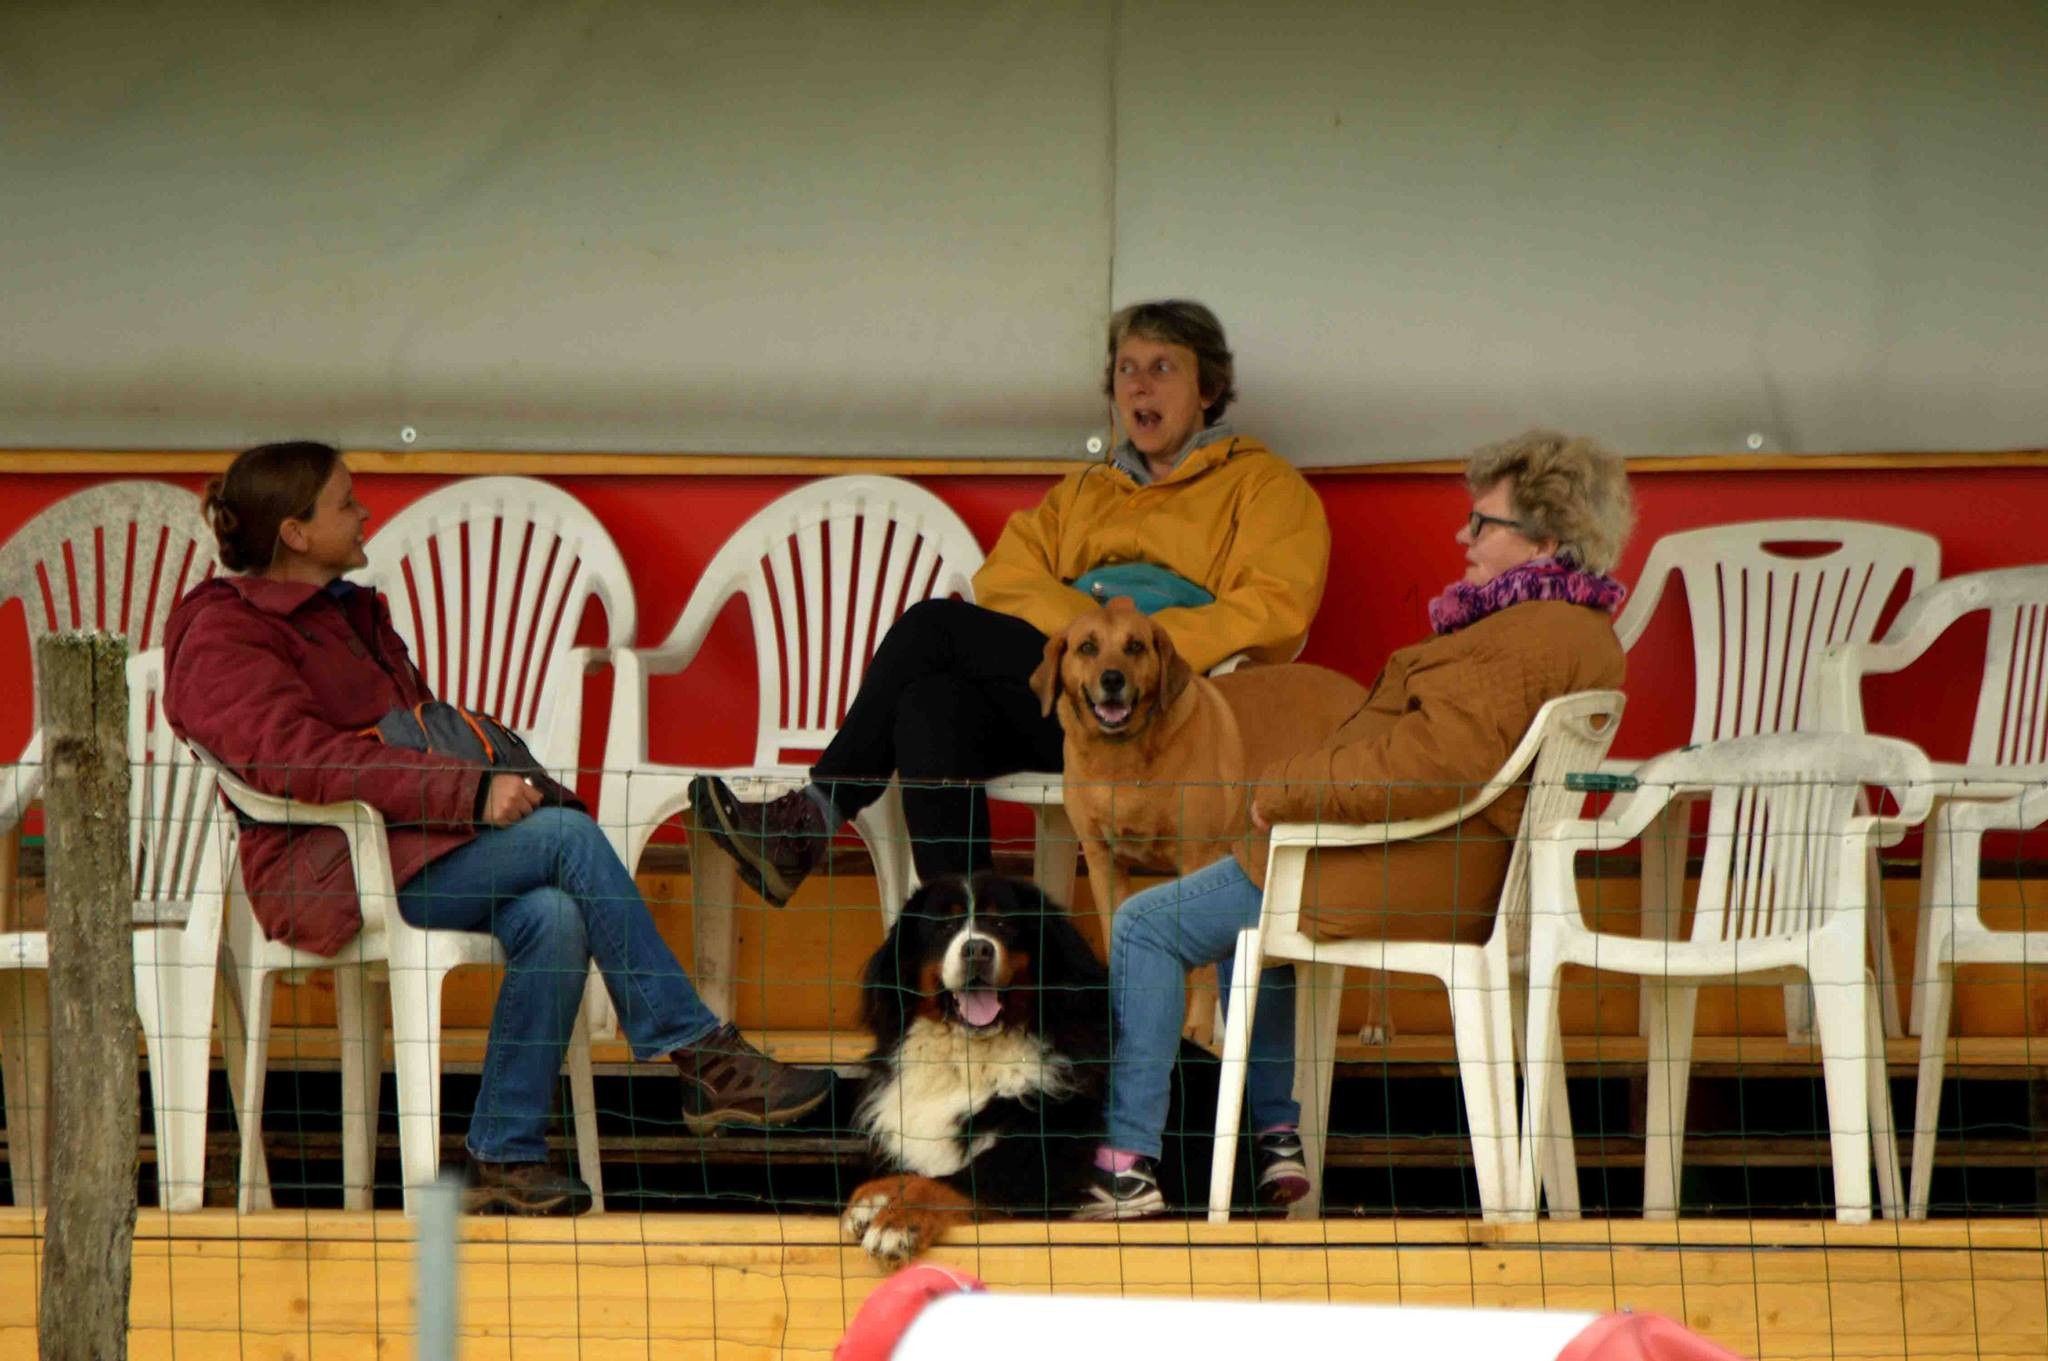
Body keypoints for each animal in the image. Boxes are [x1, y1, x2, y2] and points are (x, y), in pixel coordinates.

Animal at [839, 871, 1114, 1260]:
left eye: (1001, 923)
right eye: (945, 925)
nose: (978, 950)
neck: (965, 1060)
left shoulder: (1044, 1152)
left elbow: (949, 1181)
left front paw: (897, 1219)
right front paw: (871, 1196)